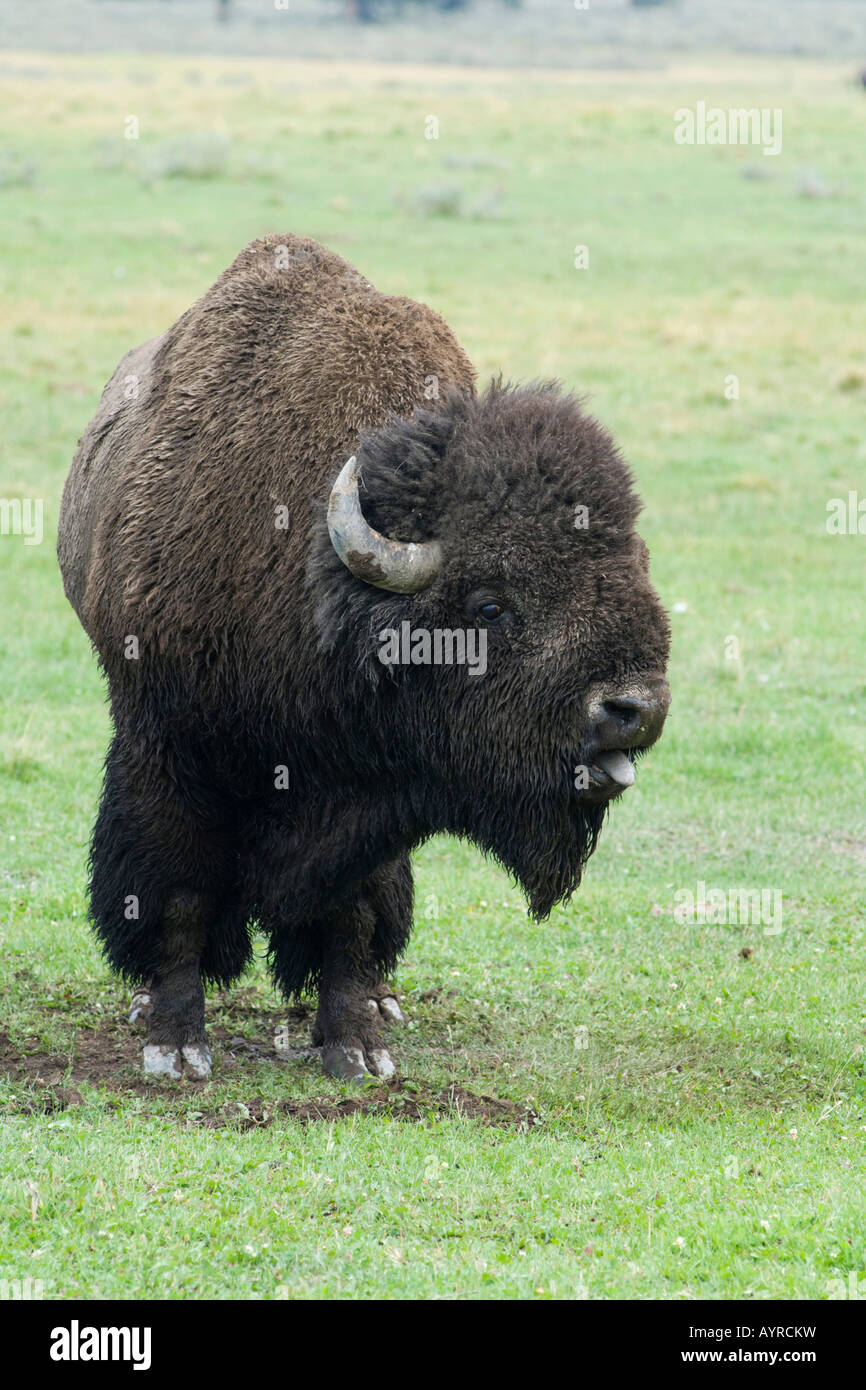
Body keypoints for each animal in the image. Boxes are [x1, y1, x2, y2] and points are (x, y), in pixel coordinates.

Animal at [57, 233, 675, 1084]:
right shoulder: (167, 750)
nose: (634, 709)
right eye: (490, 604)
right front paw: (176, 1046)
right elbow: (178, 894)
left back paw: (383, 1003)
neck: (310, 565)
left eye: (633, 569)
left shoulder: (377, 798)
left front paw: (357, 1047)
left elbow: (352, 913)